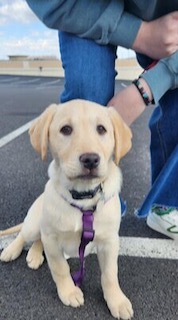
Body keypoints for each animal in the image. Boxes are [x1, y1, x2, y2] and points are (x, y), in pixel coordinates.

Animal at [0, 100, 133, 320]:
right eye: (66, 130)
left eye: (101, 129)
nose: (90, 159)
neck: (83, 200)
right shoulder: (52, 238)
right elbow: (60, 268)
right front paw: (69, 292)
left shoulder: (110, 241)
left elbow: (110, 274)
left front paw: (117, 300)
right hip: (35, 224)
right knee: (25, 235)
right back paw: (12, 250)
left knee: (38, 241)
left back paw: (34, 255)